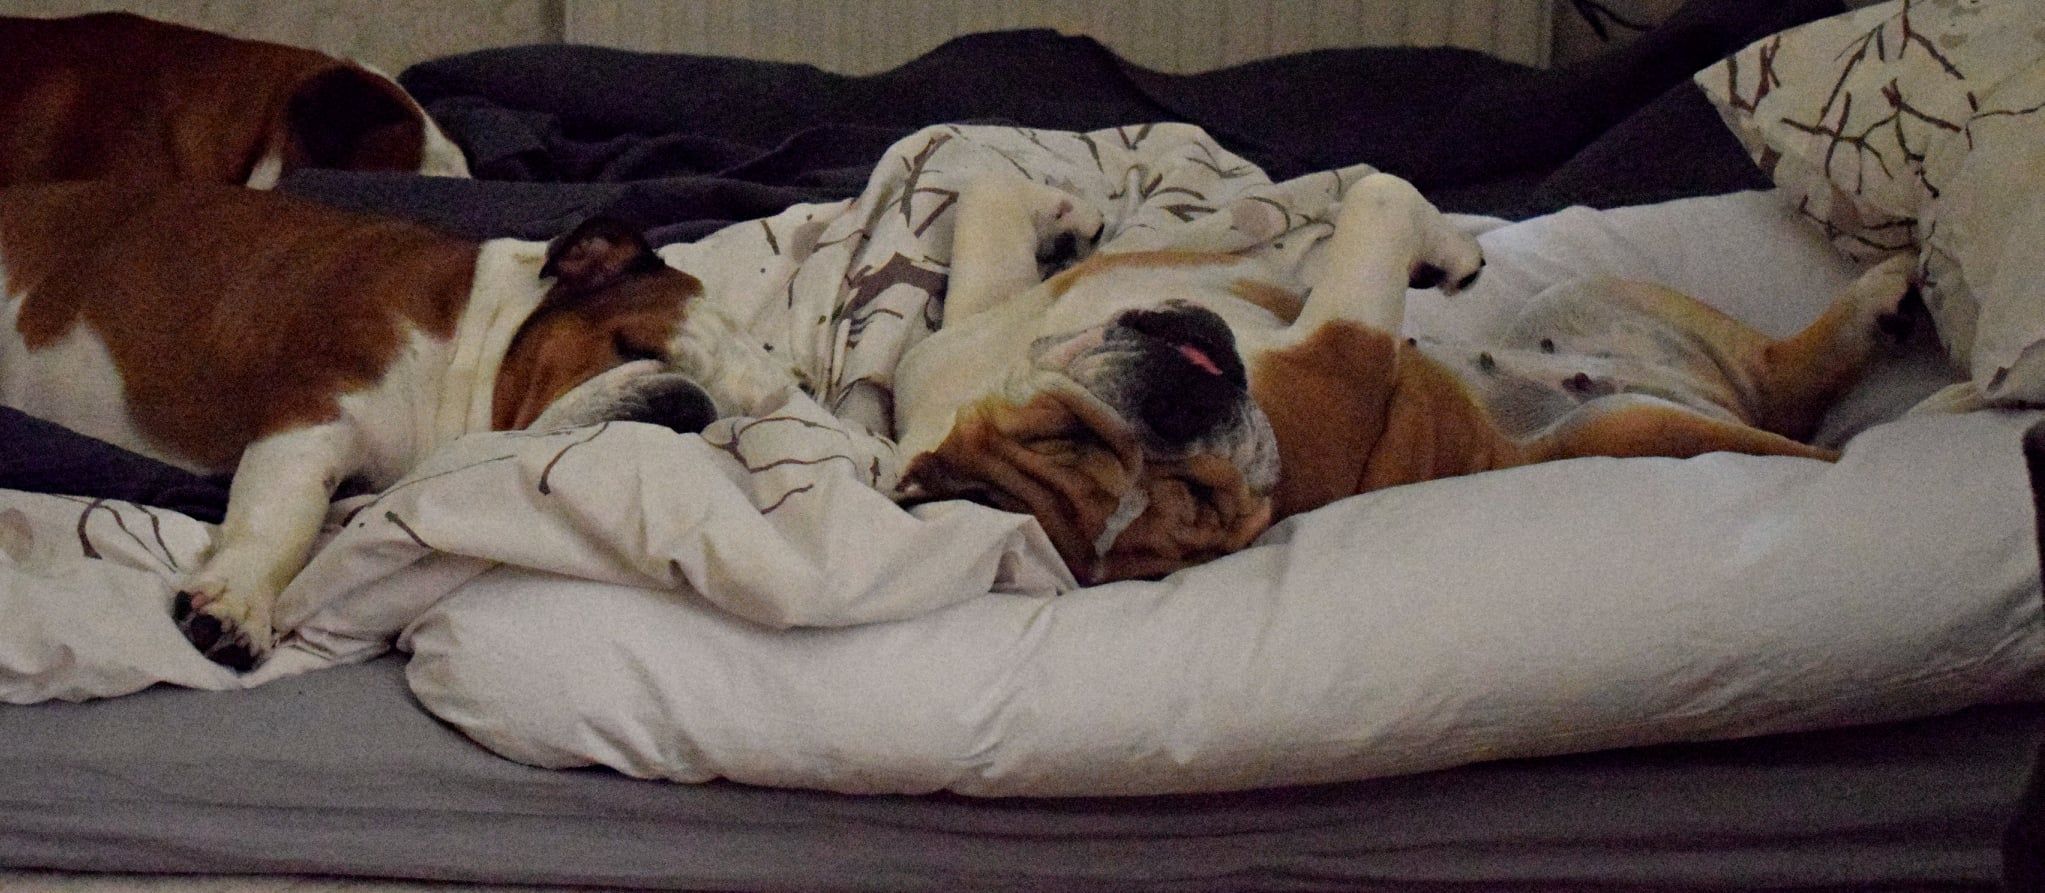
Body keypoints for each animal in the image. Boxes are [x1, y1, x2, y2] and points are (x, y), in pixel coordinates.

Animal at [0, 181, 793, 670]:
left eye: (736, 427)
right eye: (630, 346)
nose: (686, 409)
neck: (470, 344)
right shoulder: (314, 417)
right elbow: (283, 519)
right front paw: (238, 604)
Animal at [893, 173, 1917, 584]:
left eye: (1066, 432)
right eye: (1215, 513)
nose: (1181, 406)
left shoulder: (968, 325)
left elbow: (985, 189)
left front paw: (1065, 214)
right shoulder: (1341, 349)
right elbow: (1375, 196)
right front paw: (1447, 250)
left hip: (1594, 292)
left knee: (1782, 371)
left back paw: (1884, 289)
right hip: (1655, 429)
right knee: (1793, 408)